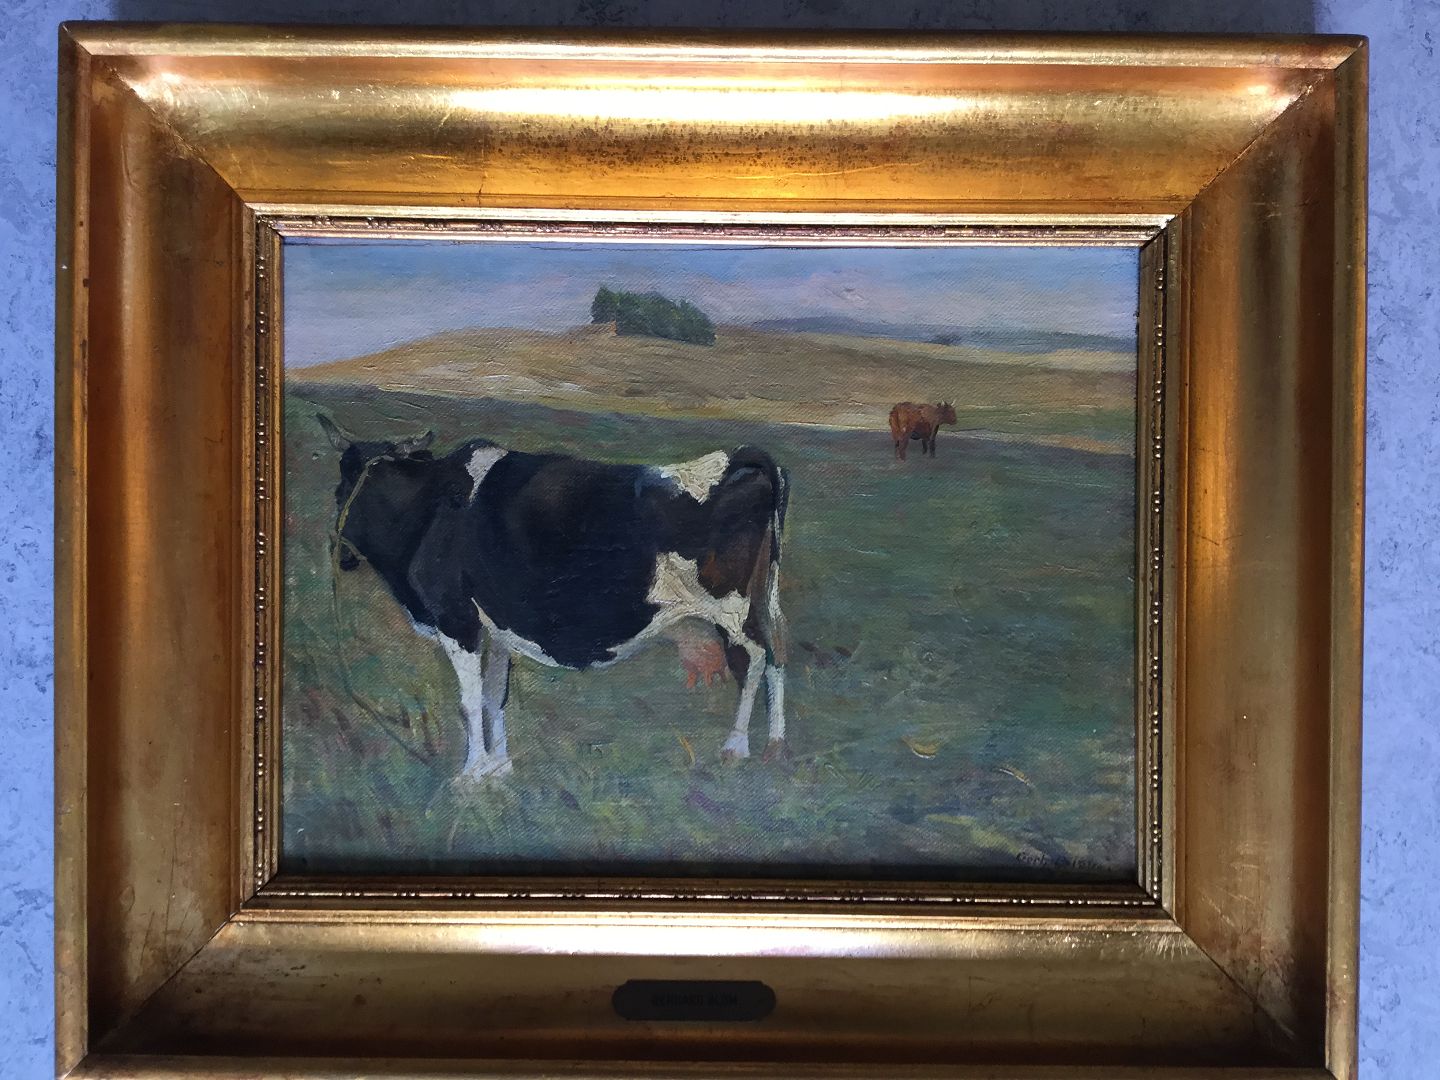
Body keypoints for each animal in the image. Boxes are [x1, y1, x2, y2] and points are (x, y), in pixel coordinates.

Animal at [317, 414, 789, 784]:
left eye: (340, 487)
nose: (339, 554)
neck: (430, 509)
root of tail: (739, 459)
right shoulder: (496, 629)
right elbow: (493, 696)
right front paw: (499, 770)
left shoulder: (457, 620)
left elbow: (469, 701)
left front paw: (470, 776)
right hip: (762, 600)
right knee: (777, 651)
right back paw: (774, 744)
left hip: (732, 608)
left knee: (755, 659)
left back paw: (738, 747)